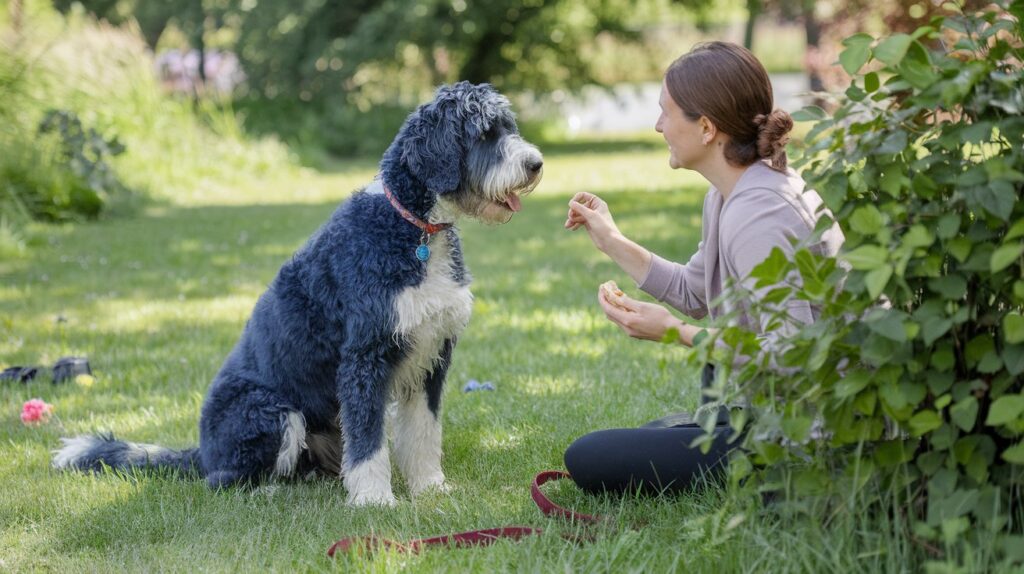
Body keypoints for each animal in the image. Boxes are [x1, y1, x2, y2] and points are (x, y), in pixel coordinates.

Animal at [51, 81, 544, 505]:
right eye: (483, 133)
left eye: (509, 127)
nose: (536, 163)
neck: (415, 229)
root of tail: (202, 452)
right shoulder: (364, 358)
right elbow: (368, 441)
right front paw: (374, 500)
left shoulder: (431, 356)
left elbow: (423, 433)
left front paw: (429, 488)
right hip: (271, 410)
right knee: (225, 479)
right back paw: (268, 491)